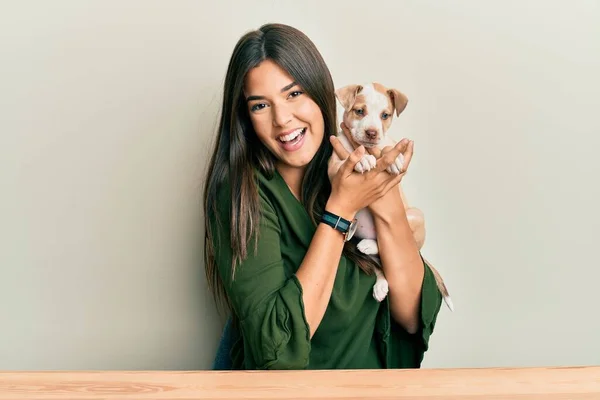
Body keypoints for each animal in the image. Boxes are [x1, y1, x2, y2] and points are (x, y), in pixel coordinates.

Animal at [328, 83, 454, 310]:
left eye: (385, 115)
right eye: (359, 111)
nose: (372, 133)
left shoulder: (388, 142)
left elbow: (388, 146)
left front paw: (394, 160)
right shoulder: (333, 169)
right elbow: (348, 160)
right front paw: (363, 160)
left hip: (414, 215)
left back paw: (370, 246)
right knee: (379, 265)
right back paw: (380, 285)